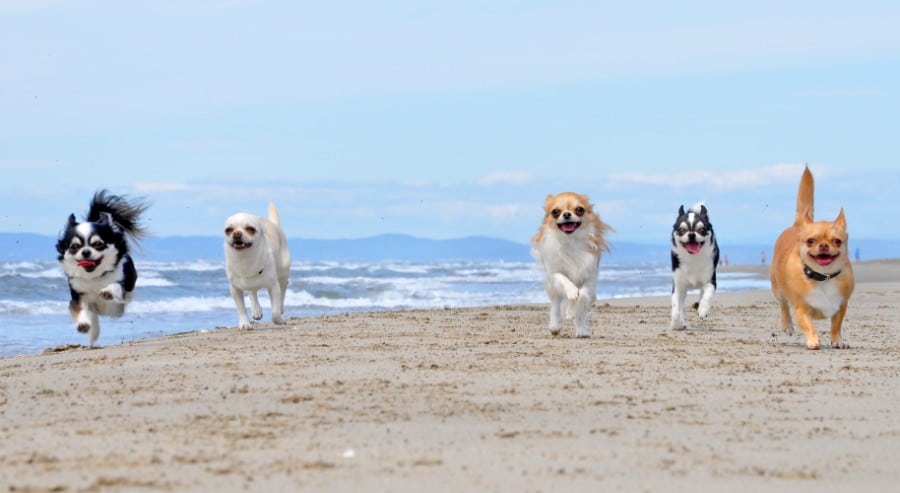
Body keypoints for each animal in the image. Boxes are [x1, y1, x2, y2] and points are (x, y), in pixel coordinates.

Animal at [55, 189, 148, 346]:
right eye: (74, 247)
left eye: (98, 244)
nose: (86, 252)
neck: (94, 276)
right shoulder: (78, 296)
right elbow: (81, 309)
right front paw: (83, 323)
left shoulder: (120, 292)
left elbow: (115, 286)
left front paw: (108, 291)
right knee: (94, 321)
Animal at [536, 190, 612, 336]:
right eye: (555, 212)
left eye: (579, 209)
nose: (566, 214)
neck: (570, 241)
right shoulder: (553, 272)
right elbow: (564, 280)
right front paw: (571, 291)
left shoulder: (590, 278)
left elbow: (582, 296)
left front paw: (572, 311)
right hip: (554, 289)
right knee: (556, 303)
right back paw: (555, 326)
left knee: (580, 309)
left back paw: (581, 329)